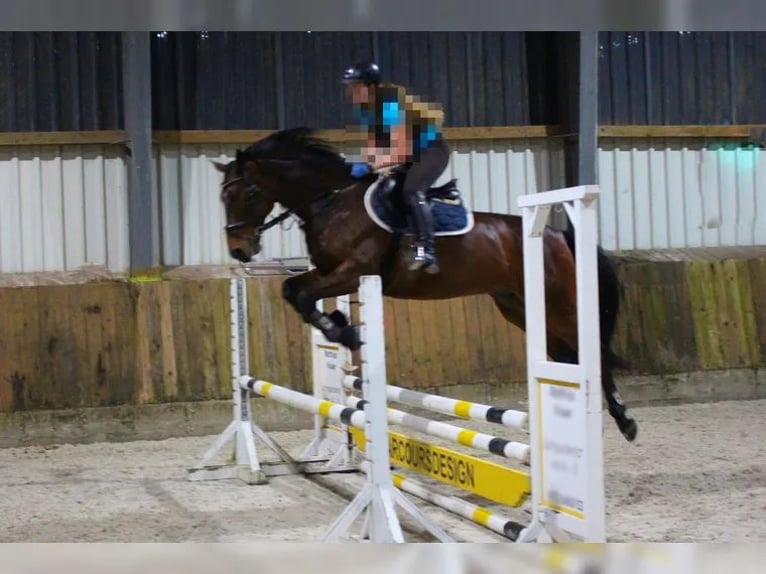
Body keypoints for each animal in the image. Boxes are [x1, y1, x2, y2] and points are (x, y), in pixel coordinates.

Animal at [212, 127, 638, 443]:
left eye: (250, 192)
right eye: (223, 198)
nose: (240, 249)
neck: (332, 201)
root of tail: (554, 234)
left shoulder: (353, 271)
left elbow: (301, 294)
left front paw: (345, 331)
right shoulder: (329, 272)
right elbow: (294, 292)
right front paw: (341, 327)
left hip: (559, 303)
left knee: (593, 350)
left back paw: (624, 419)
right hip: (518, 306)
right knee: (566, 353)